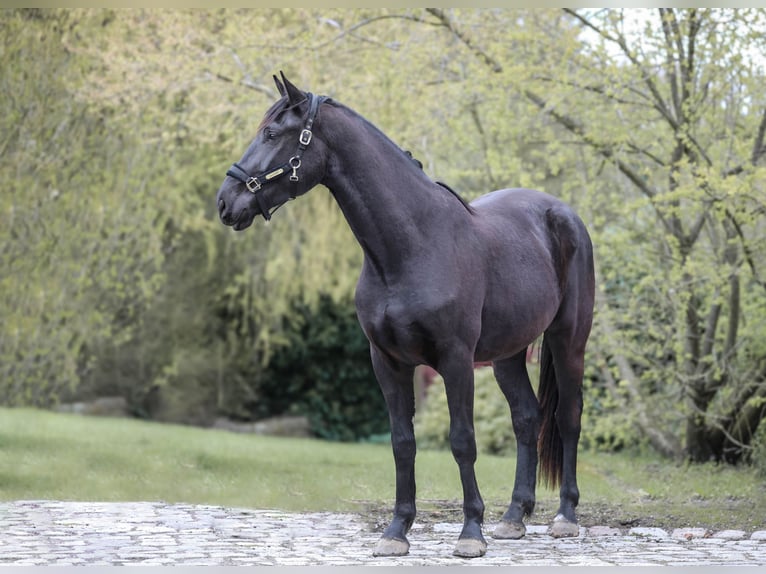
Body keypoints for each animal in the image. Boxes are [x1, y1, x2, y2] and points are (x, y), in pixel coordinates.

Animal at [216, 72, 595, 558]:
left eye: (271, 134)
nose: (225, 203)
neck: (410, 246)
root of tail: (563, 213)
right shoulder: (387, 362)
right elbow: (402, 443)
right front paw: (397, 531)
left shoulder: (455, 360)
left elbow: (462, 440)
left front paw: (470, 533)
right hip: (508, 353)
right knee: (527, 418)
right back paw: (514, 517)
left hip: (569, 341)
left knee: (567, 417)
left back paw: (565, 517)